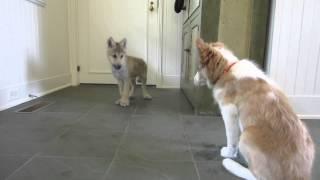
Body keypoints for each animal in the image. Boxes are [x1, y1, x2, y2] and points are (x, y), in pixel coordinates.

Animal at [194, 38, 314, 179]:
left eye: (198, 68)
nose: (193, 80)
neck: (228, 69)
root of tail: (298, 175)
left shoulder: (229, 111)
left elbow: (231, 137)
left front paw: (228, 153)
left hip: (246, 136)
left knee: (257, 176)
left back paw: (230, 164)